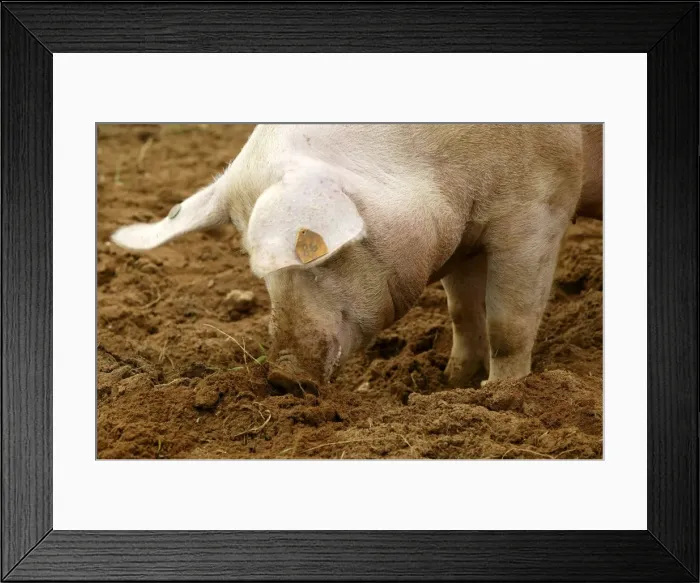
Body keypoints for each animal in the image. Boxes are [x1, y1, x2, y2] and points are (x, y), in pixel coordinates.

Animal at [111, 124, 603, 395]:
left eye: (317, 256)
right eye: (256, 264)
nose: (282, 376)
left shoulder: (538, 211)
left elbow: (508, 327)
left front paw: (501, 394)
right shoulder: (462, 236)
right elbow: (462, 312)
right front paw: (451, 383)